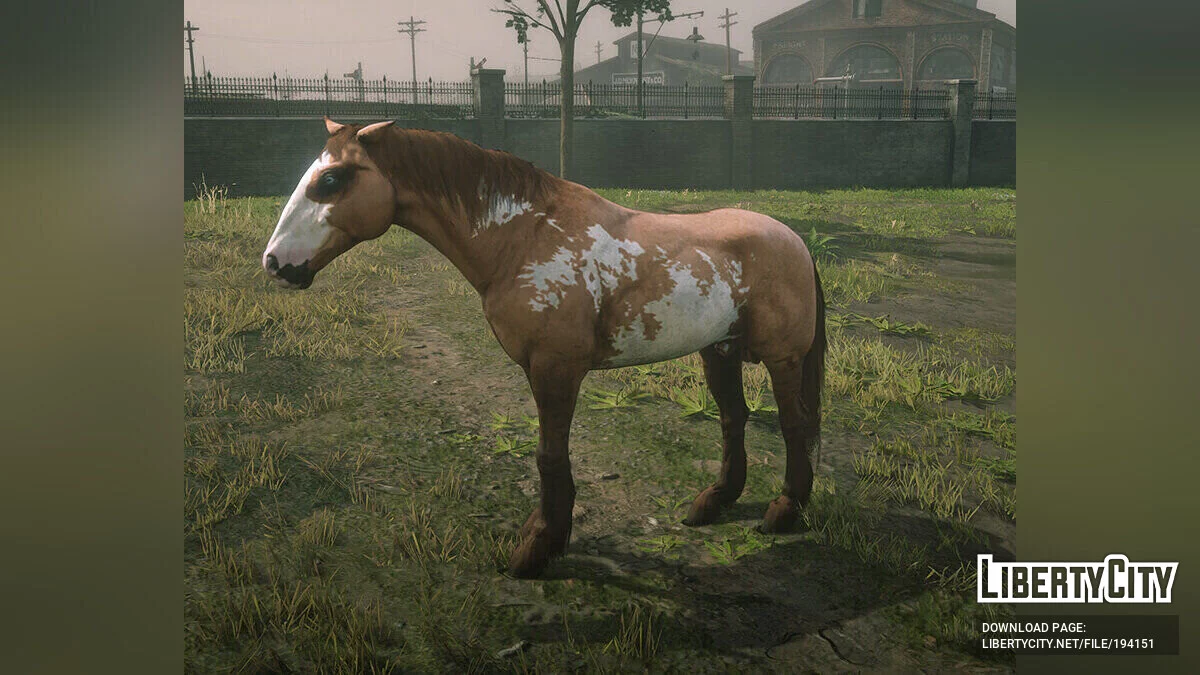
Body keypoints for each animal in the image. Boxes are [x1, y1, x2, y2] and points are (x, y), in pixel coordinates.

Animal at [262, 118, 826, 579]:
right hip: (720, 351)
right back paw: (713, 503)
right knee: (734, 418)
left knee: (793, 423)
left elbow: (549, 456)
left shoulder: (554, 369)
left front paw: (539, 546)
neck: (524, 238)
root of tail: (795, 240)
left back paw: (785, 510)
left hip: (781, 358)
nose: (275, 263)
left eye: (331, 180)